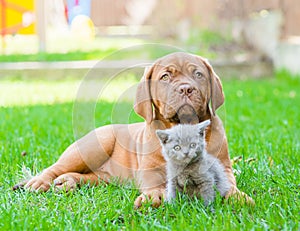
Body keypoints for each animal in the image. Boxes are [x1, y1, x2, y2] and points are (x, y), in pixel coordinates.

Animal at [14, 52, 253, 208]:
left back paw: (68, 182)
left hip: (105, 177)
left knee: (88, 176)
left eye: (199, 74)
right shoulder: (149, 171)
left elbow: (229, 184)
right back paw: (40, 182)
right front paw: (154, 198)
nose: (186, 88)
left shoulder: (224, 166)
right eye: (165, 77)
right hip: (93, 146)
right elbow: (155, 185)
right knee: (56, 167)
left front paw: (238, 197)